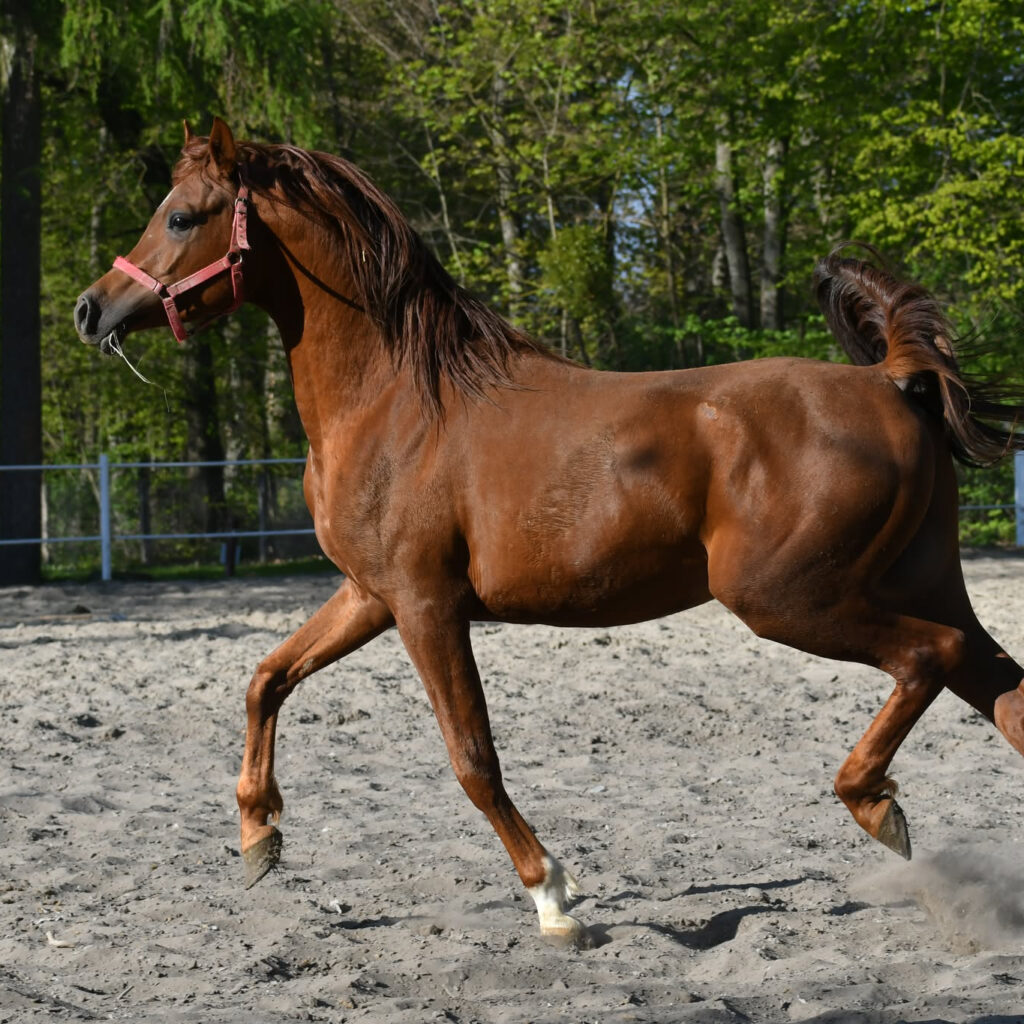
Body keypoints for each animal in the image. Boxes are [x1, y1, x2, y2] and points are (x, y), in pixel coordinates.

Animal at [74, 119, 1024, 945]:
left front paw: (553, 898)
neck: (395, 400)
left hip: (789, 599)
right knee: (1004, 694)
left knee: (926, 656)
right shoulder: (370, 596)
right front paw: (258, 837)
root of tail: (890, 380)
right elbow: (266, 679)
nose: (91, 309)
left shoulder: (425, 604)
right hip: (916, 585)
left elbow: (472, 757)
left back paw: (875, 805)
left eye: (181, 216)